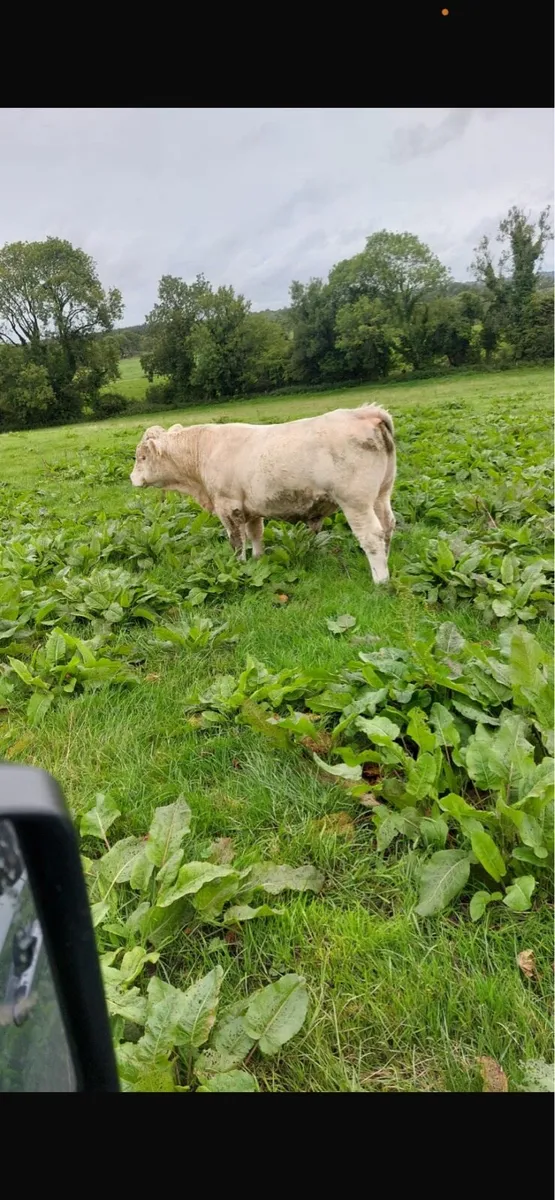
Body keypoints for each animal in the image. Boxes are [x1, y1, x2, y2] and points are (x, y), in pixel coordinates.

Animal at [130, 404, 396, 584]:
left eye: (141, 456)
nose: (132, 478)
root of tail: (365, 412)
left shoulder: (228, 506)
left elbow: (237, 541)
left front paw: (238, 565)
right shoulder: (251, 507)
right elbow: (256, 534)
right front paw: (258, 560)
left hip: (356, 502)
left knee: (371, 536)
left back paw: (380, 579)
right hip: (382, 494)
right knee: (387, 527)